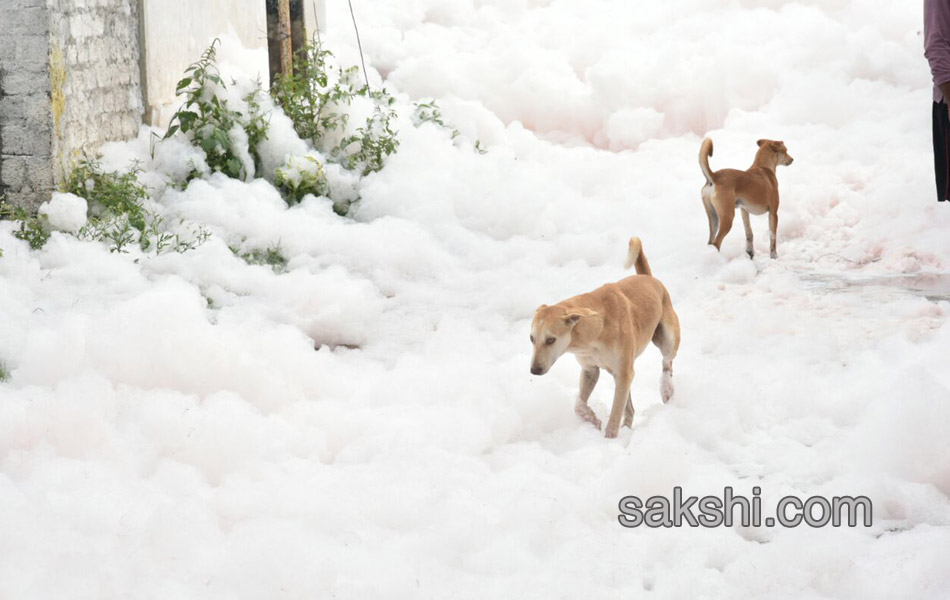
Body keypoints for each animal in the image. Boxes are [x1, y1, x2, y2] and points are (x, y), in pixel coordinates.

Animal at [532, 239, 680, 440]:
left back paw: (667, 389)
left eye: (550, 340)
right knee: (630, 408)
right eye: (531, 338)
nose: (534, 370)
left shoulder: (623, 374)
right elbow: (578, 404)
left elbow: (615, 415)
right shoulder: (590, 369)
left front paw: (609, 438)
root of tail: (649, 277)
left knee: (667, 361)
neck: (596, 330)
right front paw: (592, 418)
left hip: (667, 339)